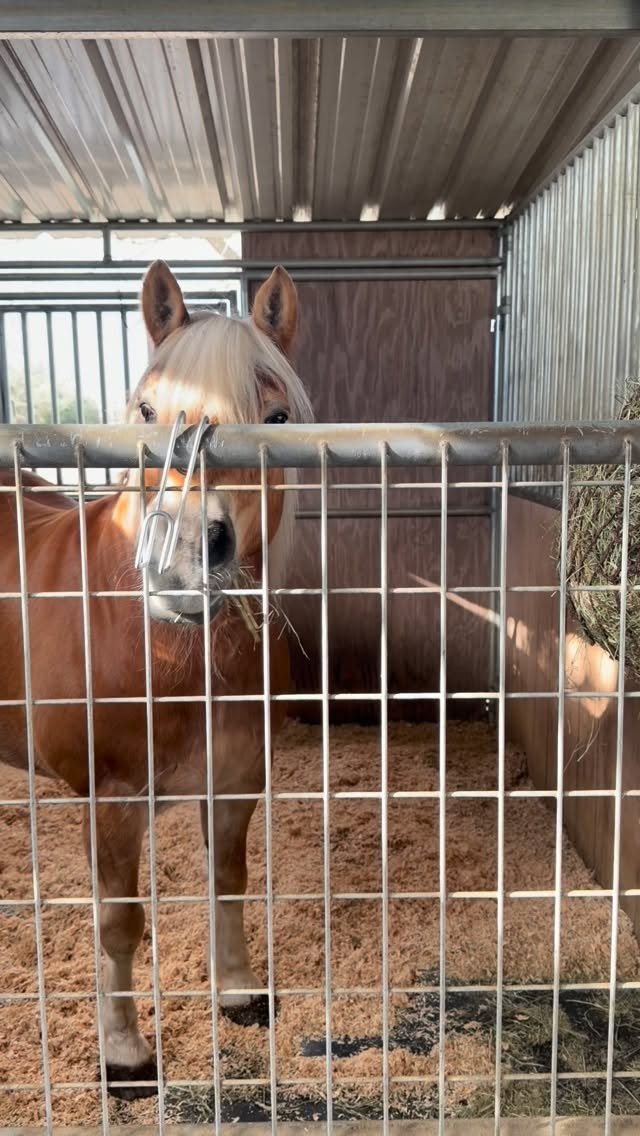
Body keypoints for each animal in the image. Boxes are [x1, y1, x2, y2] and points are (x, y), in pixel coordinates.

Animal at [0, 262, 313, 1098]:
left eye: (275, 418)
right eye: (144, 410)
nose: (185, 555)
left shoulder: (233, 782)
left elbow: (227, 880)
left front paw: (238, 994)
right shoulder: (111, 802)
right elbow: (119, 925)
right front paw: (125, 1057)